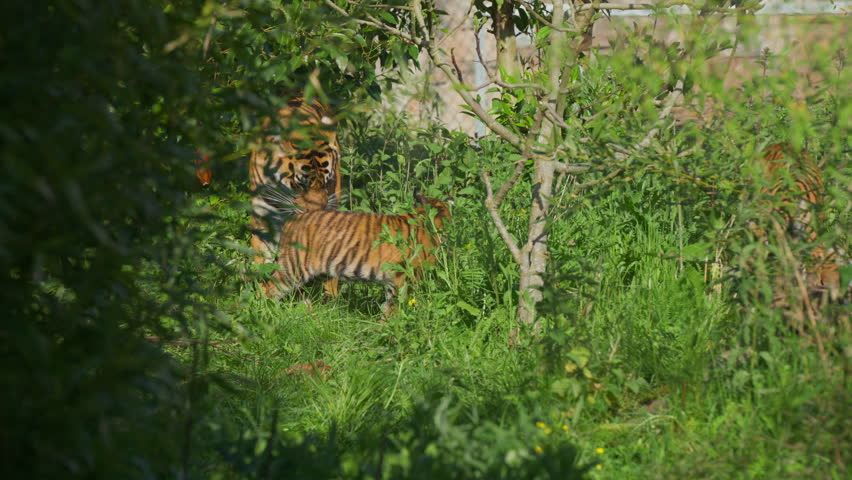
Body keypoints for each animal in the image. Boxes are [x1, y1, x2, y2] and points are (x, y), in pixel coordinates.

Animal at [263, 195, 452, 313]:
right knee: (268, 287)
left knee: (301, 294)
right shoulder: (404, 278)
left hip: (317, 273)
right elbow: (398, 305)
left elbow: (389, 305)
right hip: (294, 266)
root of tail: (292, 220)